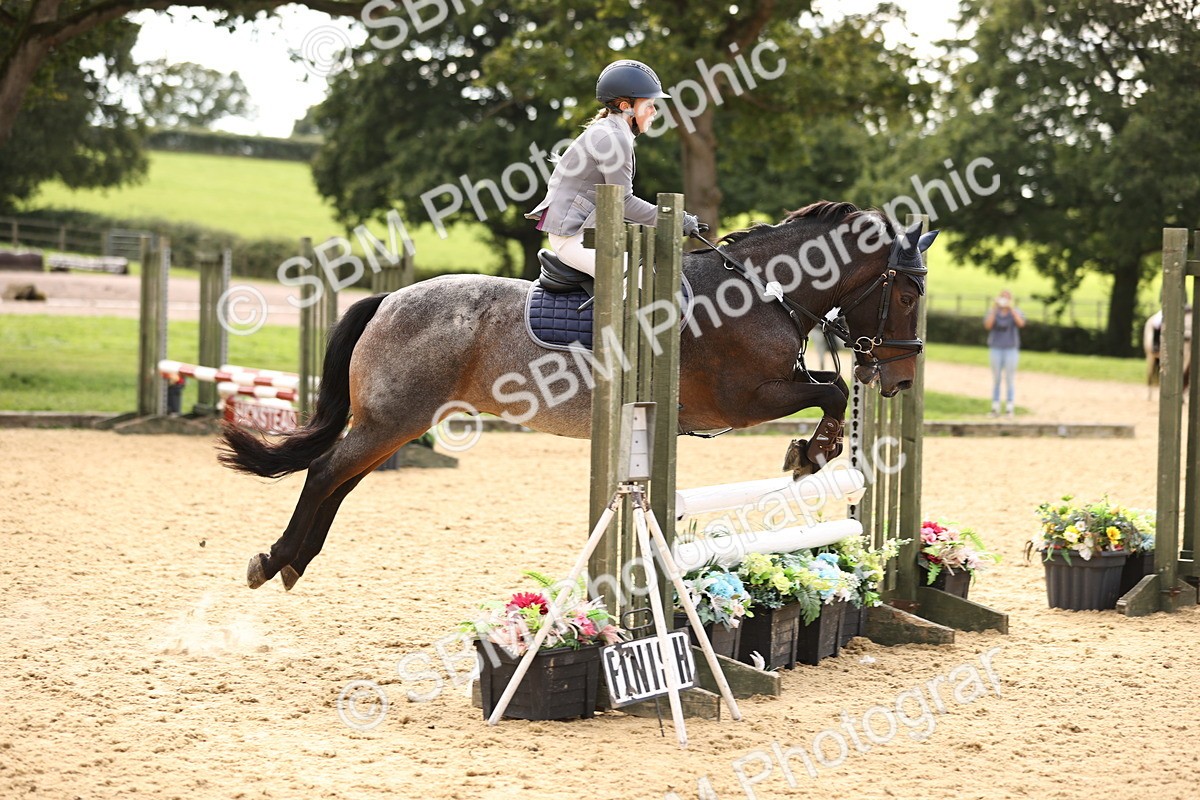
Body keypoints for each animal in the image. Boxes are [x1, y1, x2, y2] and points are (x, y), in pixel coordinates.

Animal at [219, 201, 938, 591]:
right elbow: (831, 389)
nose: (900, 379)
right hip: (392, 419)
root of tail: (390, 298)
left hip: (395, 423)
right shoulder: (743, 399)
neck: (760, 293)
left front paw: (812, 451)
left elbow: (829, 387)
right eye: (907, 293)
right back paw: (275, 559)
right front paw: (811, 454)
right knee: (326, 471)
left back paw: (295, 560)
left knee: (341, 479)